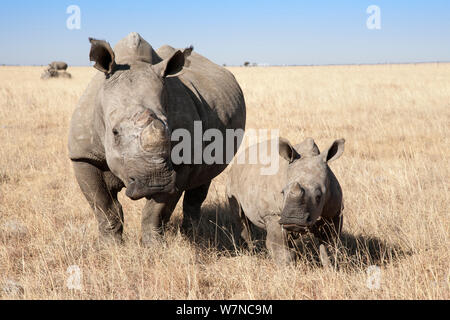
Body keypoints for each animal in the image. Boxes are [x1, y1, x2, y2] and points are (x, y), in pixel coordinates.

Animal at [67, 32, 246, 246]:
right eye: (115, 132)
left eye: (171, 132)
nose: (155, 182)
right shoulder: (83, 155)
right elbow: (104, 206)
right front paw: (109, 246)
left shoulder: (180, 163)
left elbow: (155, 211)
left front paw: (154, 246)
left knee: (201, 183)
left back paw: (191, 233)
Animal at [227, 136, 346, 264]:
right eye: (282, 193)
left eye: (318, 197)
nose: (292, 219)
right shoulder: (273, 214)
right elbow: (280, 248)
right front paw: (286, 268)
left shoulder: (334, 213)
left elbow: (330, 245)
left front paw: (332, 266)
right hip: (232, 178)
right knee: (241, 219)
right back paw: (248, 252)